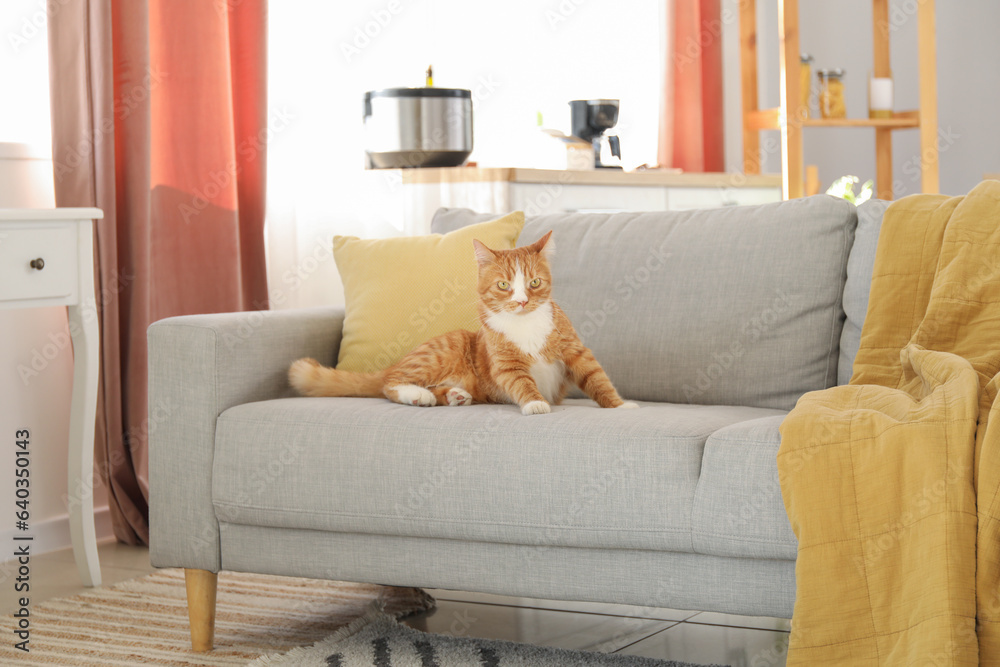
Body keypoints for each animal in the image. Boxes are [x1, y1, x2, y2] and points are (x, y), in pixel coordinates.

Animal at [290, 232, 636, 414]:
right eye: (504, 286)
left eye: (534, 283)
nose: (522, 301)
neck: (525, 324)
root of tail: (393, 363)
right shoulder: (505, 364)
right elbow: (522, 382)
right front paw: (536, 404)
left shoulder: (575, 350)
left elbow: (596, 377)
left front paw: (619, 405)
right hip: (442, 350)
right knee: (389, 384)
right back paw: (417, 394)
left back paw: (452, 396)